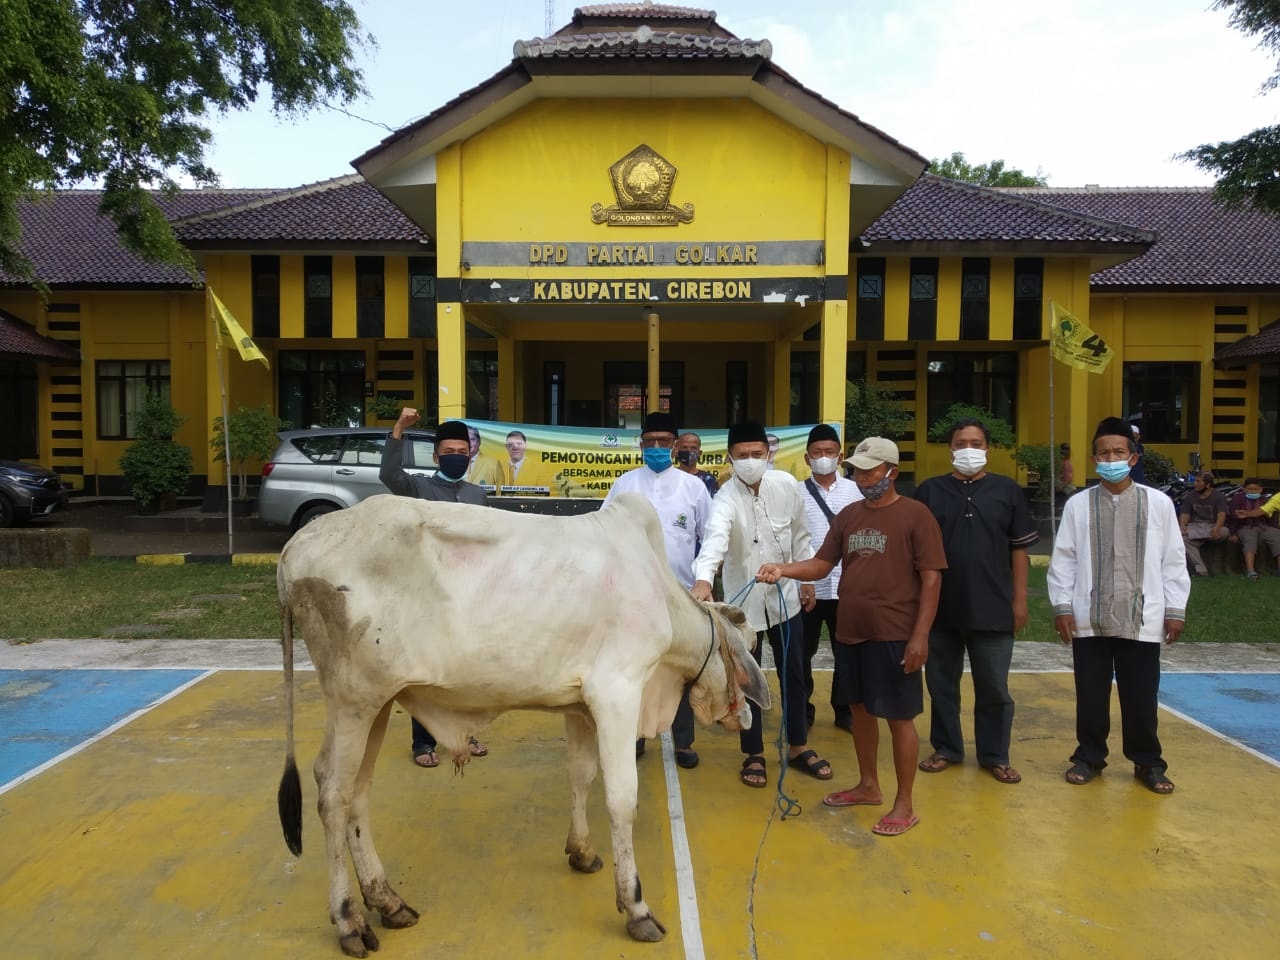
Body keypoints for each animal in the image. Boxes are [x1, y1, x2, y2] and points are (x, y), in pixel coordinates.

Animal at [276, 491, 768, 957]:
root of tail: (294, 548)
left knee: (357, 796)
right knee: (332, 793)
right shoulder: (617, 693)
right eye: (747, 647)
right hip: (352, 702)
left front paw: (582, 852)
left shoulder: (581, 707)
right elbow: (621, 799)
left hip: (377, 703)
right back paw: (348, 920)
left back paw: (387, 901)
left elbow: (581, 776)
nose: (746, 717)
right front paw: (636, 906)